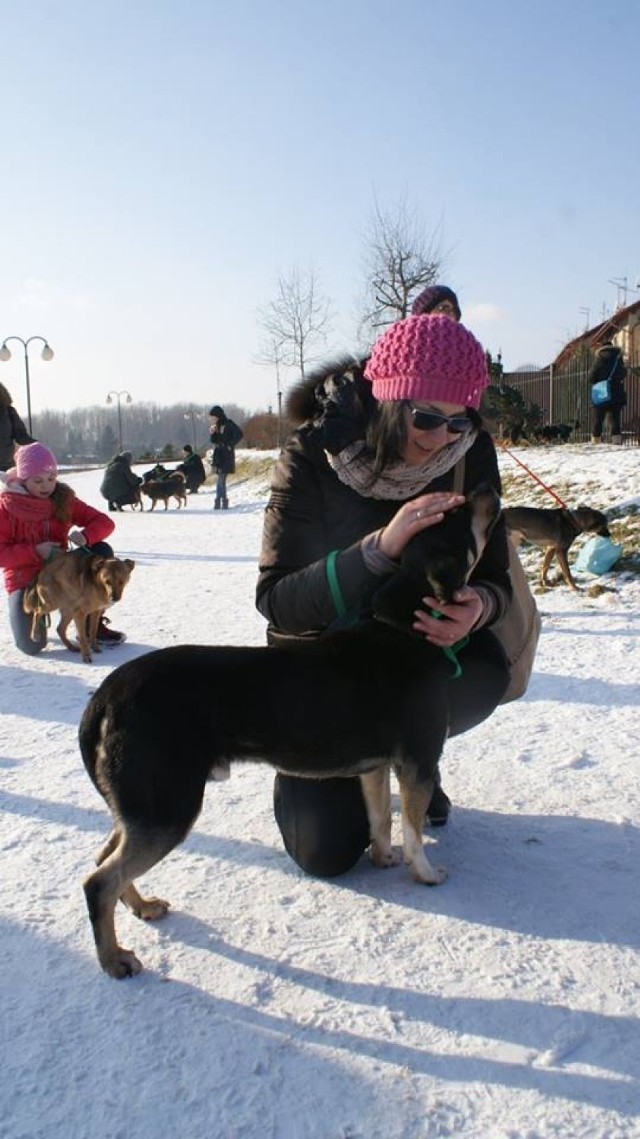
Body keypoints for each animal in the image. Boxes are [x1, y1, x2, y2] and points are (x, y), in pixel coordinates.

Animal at [78, 485, 498, 974]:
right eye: (461, 514)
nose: (488, 489)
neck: (402, 627)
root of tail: (109, 694)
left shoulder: (374, 766)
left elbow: (379, 820)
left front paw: (382, 859)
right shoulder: (417, 761)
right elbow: (412, 832)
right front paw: (426, 874)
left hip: (144, 804)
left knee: (106, 858)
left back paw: (142, 907)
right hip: (166, 806)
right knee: (99, 881)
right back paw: (114, 960)